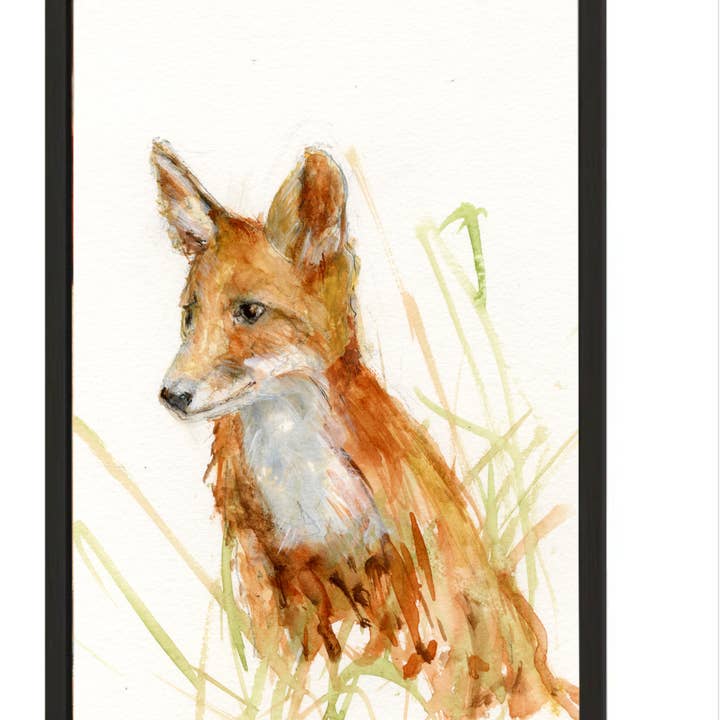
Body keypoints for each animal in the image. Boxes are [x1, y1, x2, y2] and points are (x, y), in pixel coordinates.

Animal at [151, 140, 579, 720]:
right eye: (189, 315)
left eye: (250, 311)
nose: (172, 395)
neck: (300, 487)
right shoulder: (268, 578)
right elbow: (280, 681)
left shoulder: (408, 585)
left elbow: (420, 678)